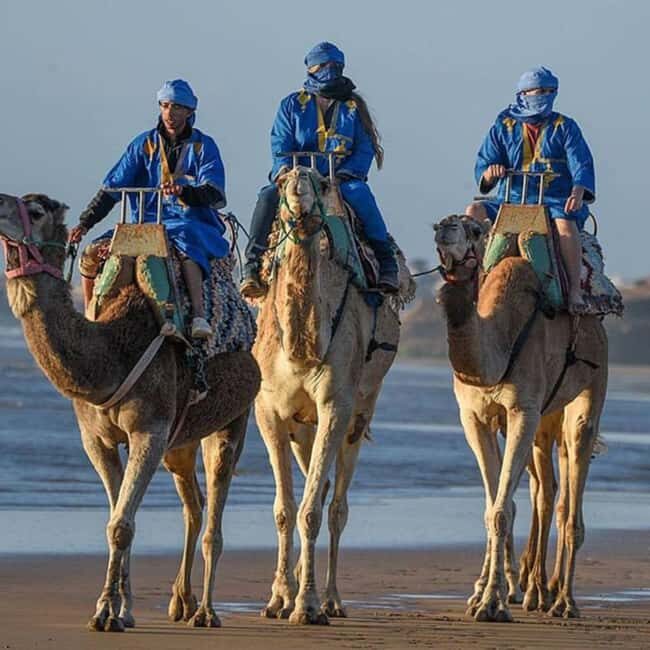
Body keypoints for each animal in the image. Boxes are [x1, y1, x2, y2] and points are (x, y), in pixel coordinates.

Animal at [0, 193, 260, 631]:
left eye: (35, 211)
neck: (110, 356)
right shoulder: (96, 439)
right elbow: (115, 517)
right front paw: (123, 609)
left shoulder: (149, 430)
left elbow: (121, 525)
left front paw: (106, 613)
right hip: (181, 440)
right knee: (194, 506)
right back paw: (181, 601)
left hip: (233, 420)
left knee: (214, 510)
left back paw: (207, 612)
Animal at [250, 167, 413, 625]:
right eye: (283, 181)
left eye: (320, 183)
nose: (300, 196)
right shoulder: (268, 411)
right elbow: (285, 509)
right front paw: (278, 599)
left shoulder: (335, 405)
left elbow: (310, 511)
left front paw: (306, 606)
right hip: (300, 429)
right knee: (317, 490)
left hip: (360, 412)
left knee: (336, 505)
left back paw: (332, 600)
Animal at [433, 214, 607, 622]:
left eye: (475, 231)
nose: (443, 227)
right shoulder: (474, 417)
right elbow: (495, 507)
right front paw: (482, 595)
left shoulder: (522, 411)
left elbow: (501, 510)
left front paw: (492, 603)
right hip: (547, 421)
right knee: (547, 491)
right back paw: (539, 591)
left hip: (590, 392)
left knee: (568, 500)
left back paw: (562, 601)